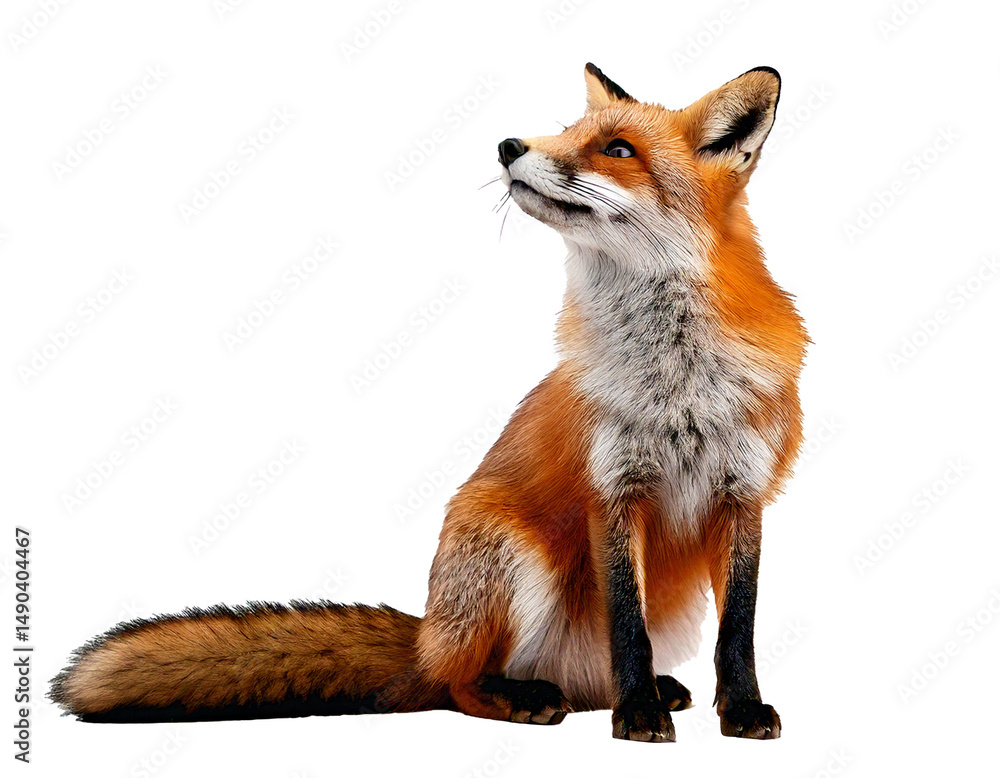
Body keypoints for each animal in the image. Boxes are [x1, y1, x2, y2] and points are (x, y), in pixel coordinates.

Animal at [51, 63, 806, 742]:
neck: (676, 381)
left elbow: (738, 629)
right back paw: (530, 696)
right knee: (459, 686)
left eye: (617, 150)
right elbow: (628, 629)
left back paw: (642, 689)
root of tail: (427, 636)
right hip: (510, 551)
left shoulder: (744, 494)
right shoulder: (613, 489)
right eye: (565, 132)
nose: (509, 146)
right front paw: (639, 716)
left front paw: (739, 711)